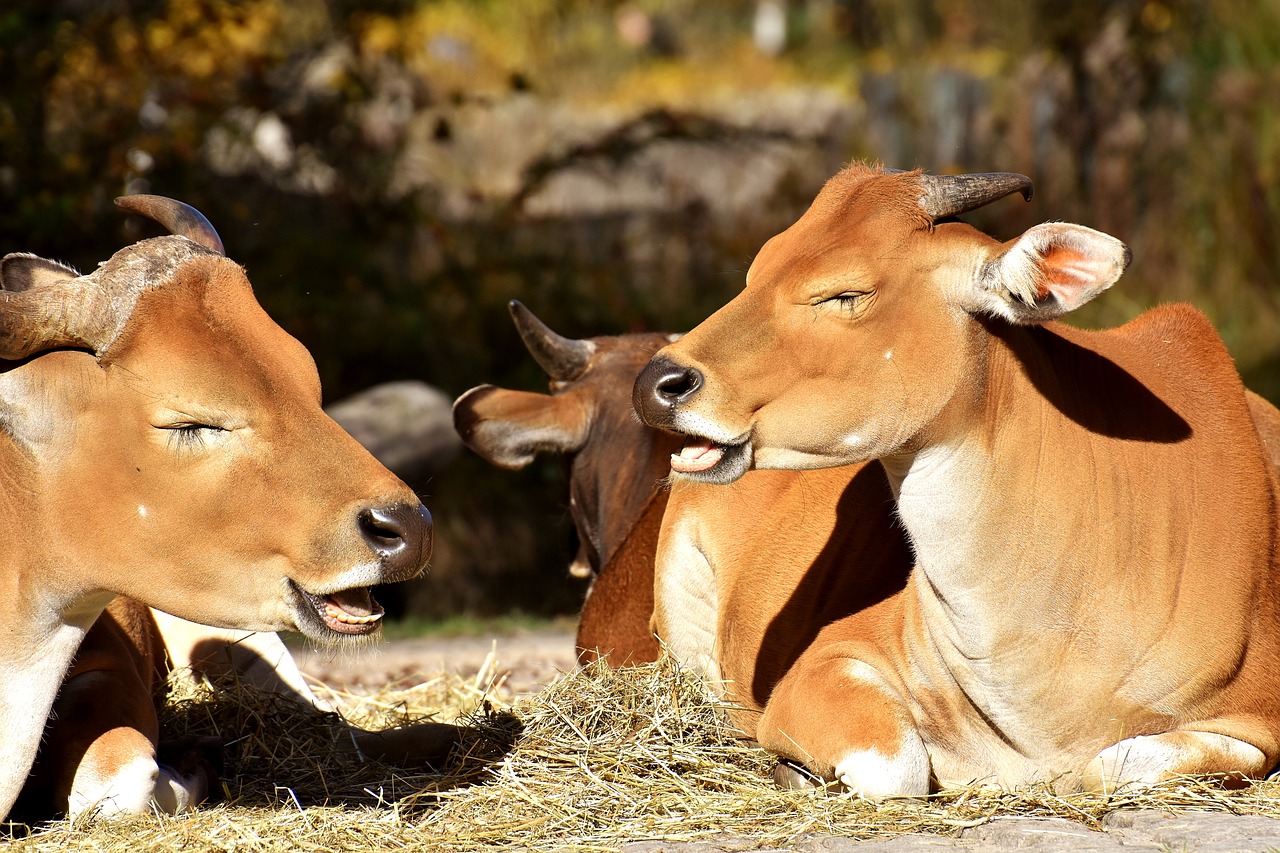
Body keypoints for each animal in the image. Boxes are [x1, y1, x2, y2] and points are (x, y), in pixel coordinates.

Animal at [632, 162, 1280, 794]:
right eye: (757, 270)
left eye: (845, 293)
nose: (657, 384)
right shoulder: (826, 664)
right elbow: (897, 768)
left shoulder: (1254, 726)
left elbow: (1109, 766)